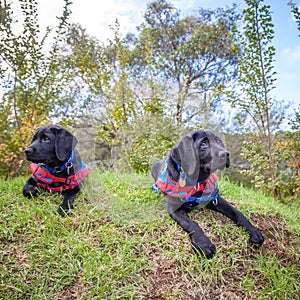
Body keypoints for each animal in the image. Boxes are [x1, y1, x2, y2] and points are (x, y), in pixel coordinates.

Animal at [151, 130, 264, 258]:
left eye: (219, 141)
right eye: (203, 144)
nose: (226, 154)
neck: (197, 182)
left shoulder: (215, 199)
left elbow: (237, 212)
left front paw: (253, 230)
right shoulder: (174, 207)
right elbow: (191, 223)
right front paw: (203, 243)